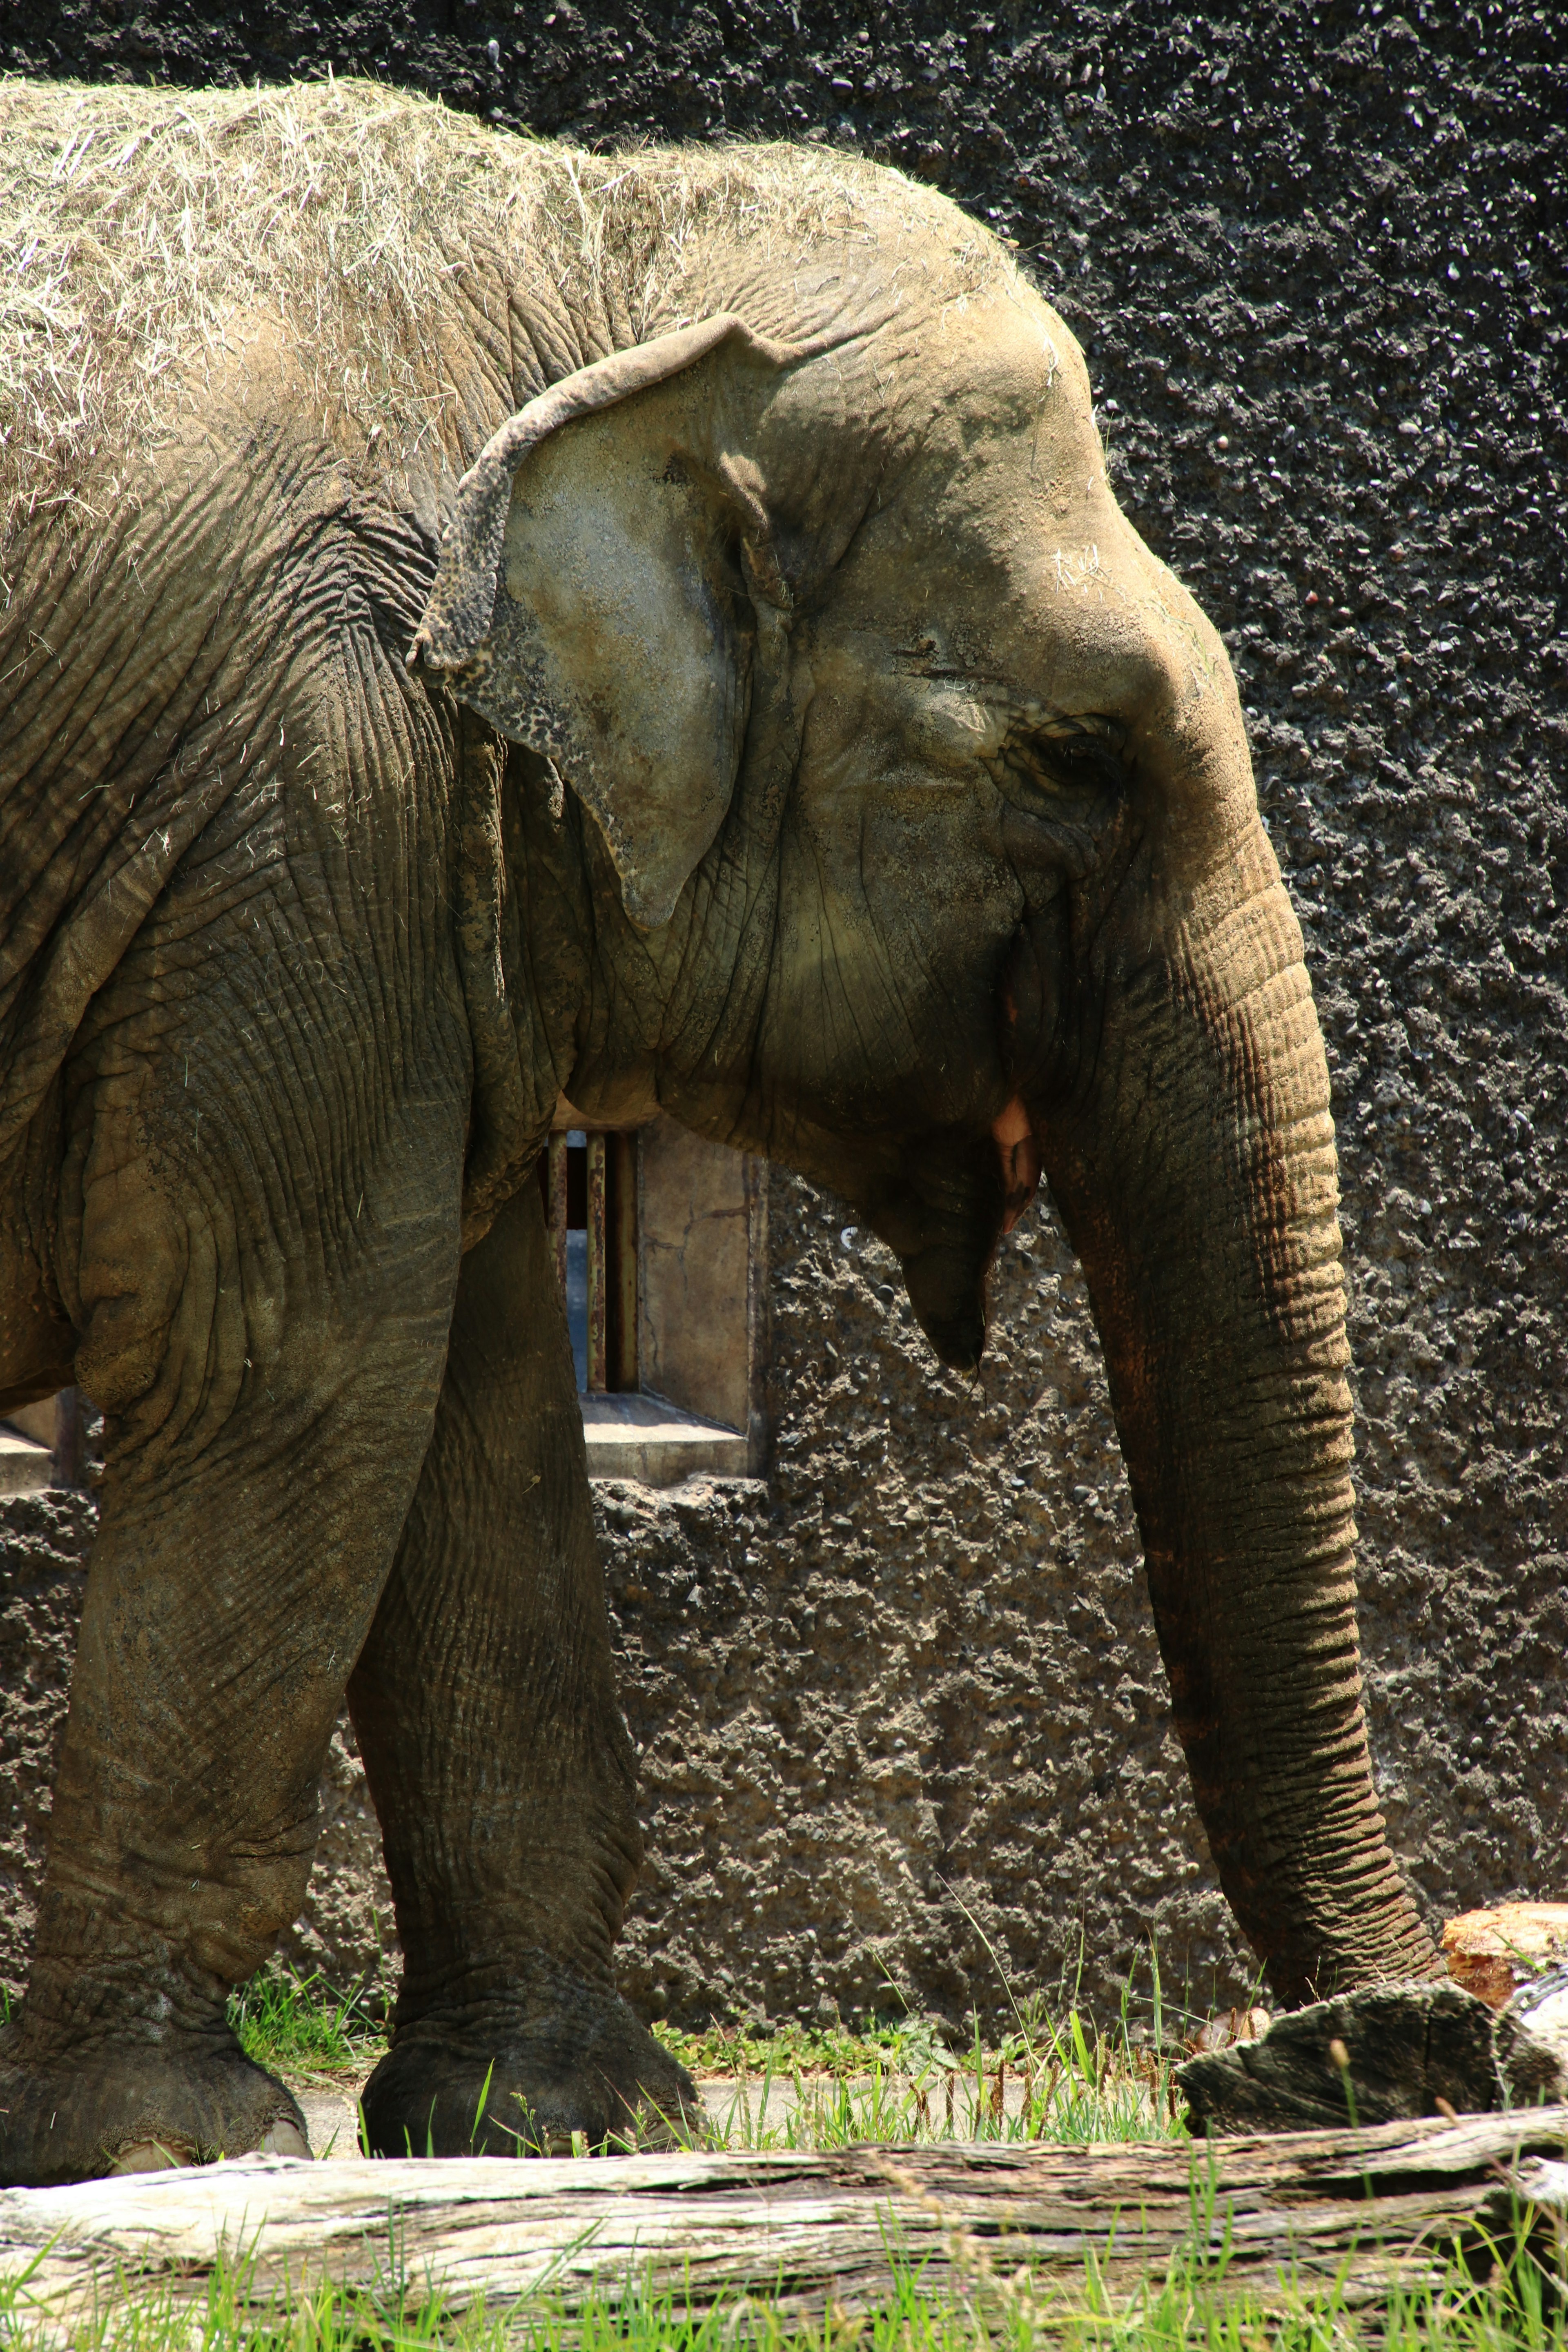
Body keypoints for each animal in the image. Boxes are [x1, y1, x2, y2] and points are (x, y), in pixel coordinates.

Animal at [0, 87, 1448, 2183]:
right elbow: (284, 1356)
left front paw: (560, 2124)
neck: (590, 250)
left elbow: (476, 1407)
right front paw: (175, 2152)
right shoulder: (311, 791)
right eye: (1075, 755)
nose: (1384, 2044)